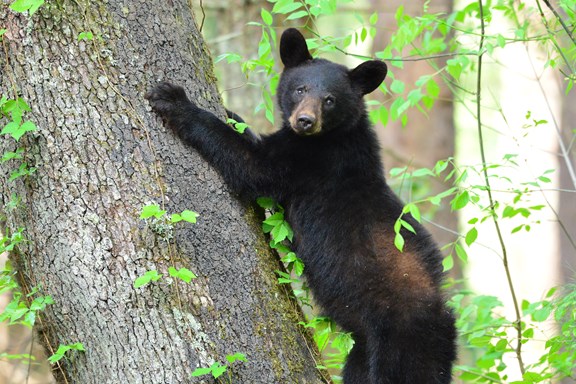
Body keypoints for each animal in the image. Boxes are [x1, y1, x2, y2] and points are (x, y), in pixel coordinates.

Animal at [146, 28, 456, 382]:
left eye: (330, 99)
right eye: (300, 89)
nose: (305, 120)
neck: (334, 135)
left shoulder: (309, 160)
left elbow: (251, 165)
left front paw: (174, 100)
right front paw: (233, 114)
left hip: (400, 343)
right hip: (365, 348)